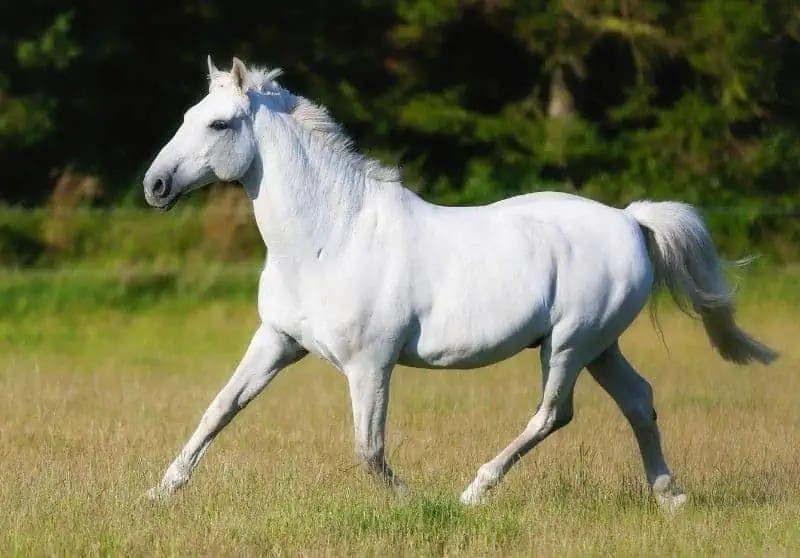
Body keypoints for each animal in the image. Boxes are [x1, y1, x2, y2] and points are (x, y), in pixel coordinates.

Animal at [142, 56, 778, 510]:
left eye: (219, 122)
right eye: (186, 115)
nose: (156, 186)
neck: (332, 237)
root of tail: (630, 220)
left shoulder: (370, 365)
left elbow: (368, 448)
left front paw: (412, 501)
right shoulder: (277, 341)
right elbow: (219, 410)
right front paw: (158, 492)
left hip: (568, 346)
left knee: (553, 415)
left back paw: (474, 492)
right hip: (600, 347)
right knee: (639, 402)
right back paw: (669, 496)